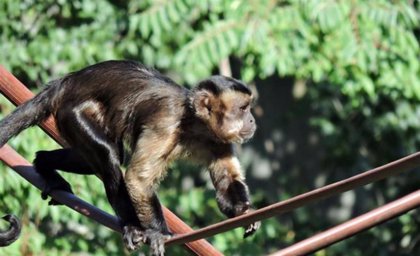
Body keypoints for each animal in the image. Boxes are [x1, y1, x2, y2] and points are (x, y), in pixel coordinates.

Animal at [0, 59, 260, 254]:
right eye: (242, 109)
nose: (251, 119)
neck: (195, 123)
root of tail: (67, 81)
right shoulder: (166, 124)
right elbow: (138, 178)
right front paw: (158, 233)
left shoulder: (218, 139)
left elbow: (226, 181)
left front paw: (243, 212)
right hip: (71, 112)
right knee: (109, 156)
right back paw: (132, 227)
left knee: (103, 156)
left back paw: (43, 162)